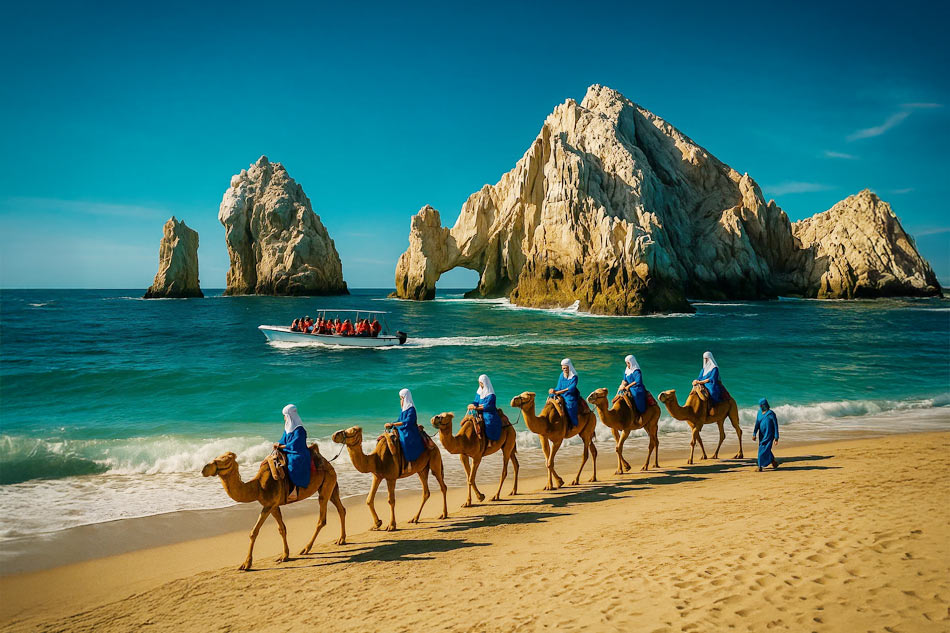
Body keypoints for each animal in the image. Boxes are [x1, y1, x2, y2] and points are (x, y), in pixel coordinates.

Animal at [201, 446, 346, 571]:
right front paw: (284, 556)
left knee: (322, 518)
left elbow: (254, 532)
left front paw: (246, 564)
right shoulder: (274, 506)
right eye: (217, 456)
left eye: (226, 460)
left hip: (327, 483)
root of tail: (327, 461)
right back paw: (341, 540)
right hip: (331, 485)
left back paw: (306, 549)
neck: (258, 487)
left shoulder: (269, 505)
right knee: (341, 509)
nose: (204, 469)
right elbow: (282, 529)